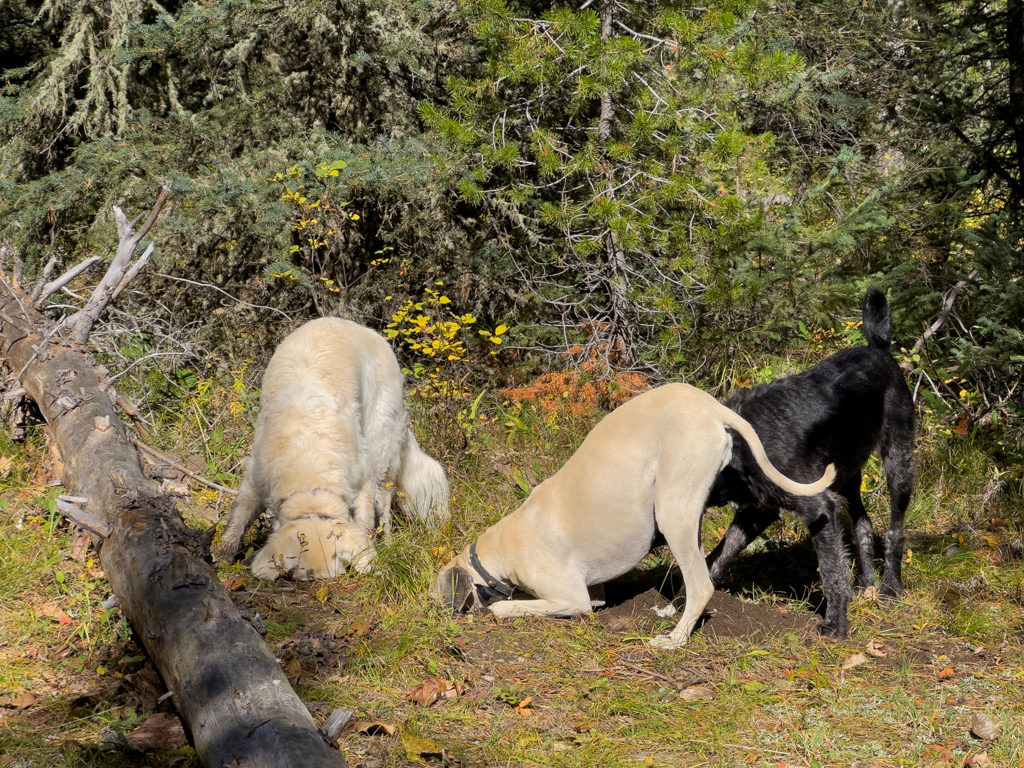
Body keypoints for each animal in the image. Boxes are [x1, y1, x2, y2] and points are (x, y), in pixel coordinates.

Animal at [216, 315, 448, 581]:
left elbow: (365, 521)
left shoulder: (362, 476)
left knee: (384, 499)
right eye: (303, 577)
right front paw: (222, 558)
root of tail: (368, 331)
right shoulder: (256, 476)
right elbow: (237, 518)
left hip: (380, 437)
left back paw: (389, 542)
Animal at [430, 385, 831, 651]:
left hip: (671, 512)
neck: (500, 545)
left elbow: (505, 607)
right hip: (690, 511)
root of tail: (709, 405)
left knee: (702, 585)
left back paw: (674, 640)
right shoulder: (592, 595)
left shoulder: (571, 598)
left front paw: (497, 608)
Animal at [708, 286, 917, 638]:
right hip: (847, 476)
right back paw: (867, 585)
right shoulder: (759, 510)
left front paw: (836, 624)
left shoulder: (816, 508)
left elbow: (831, 571)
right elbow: (721, 551)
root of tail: (879, 347)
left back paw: (890, 586)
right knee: (863, 524)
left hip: (898, 462)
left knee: (895, 530)